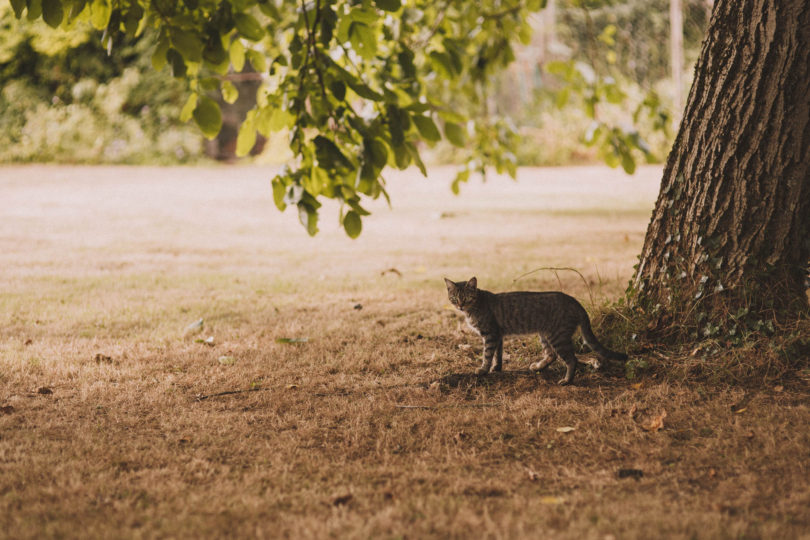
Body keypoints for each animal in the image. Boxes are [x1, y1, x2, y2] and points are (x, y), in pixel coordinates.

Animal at [442, 278, 624, 384]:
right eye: (454, 298)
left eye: (466, 298)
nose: (460, 305)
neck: (475, 307)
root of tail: (573, 300)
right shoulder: (498, 335)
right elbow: (497, 355)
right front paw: (497, 367)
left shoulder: (490, 334)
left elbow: (487, 354)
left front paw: (483, 370)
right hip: (545, 334)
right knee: (551, 355)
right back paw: (538, 367)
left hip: (557, 336)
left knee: (572, 360)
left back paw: (566, 380)